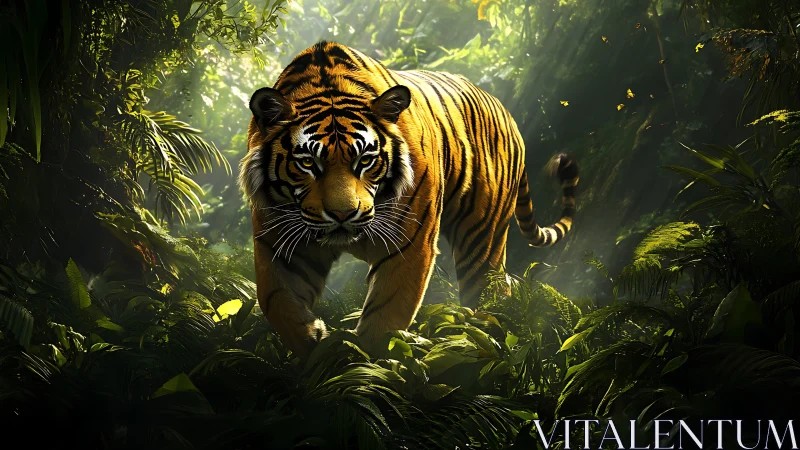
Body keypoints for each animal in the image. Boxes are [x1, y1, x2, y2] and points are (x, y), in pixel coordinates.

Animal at [239, 41, 579, 357]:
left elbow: (386, 315)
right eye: (308, 163)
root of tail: (508, 115)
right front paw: (314, 342)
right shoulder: (279, 242)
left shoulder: (410, 245)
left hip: (482, 240)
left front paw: (362, 367)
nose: (343, 215)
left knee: (490, 294)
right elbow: (275, 299)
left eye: (365, 160)